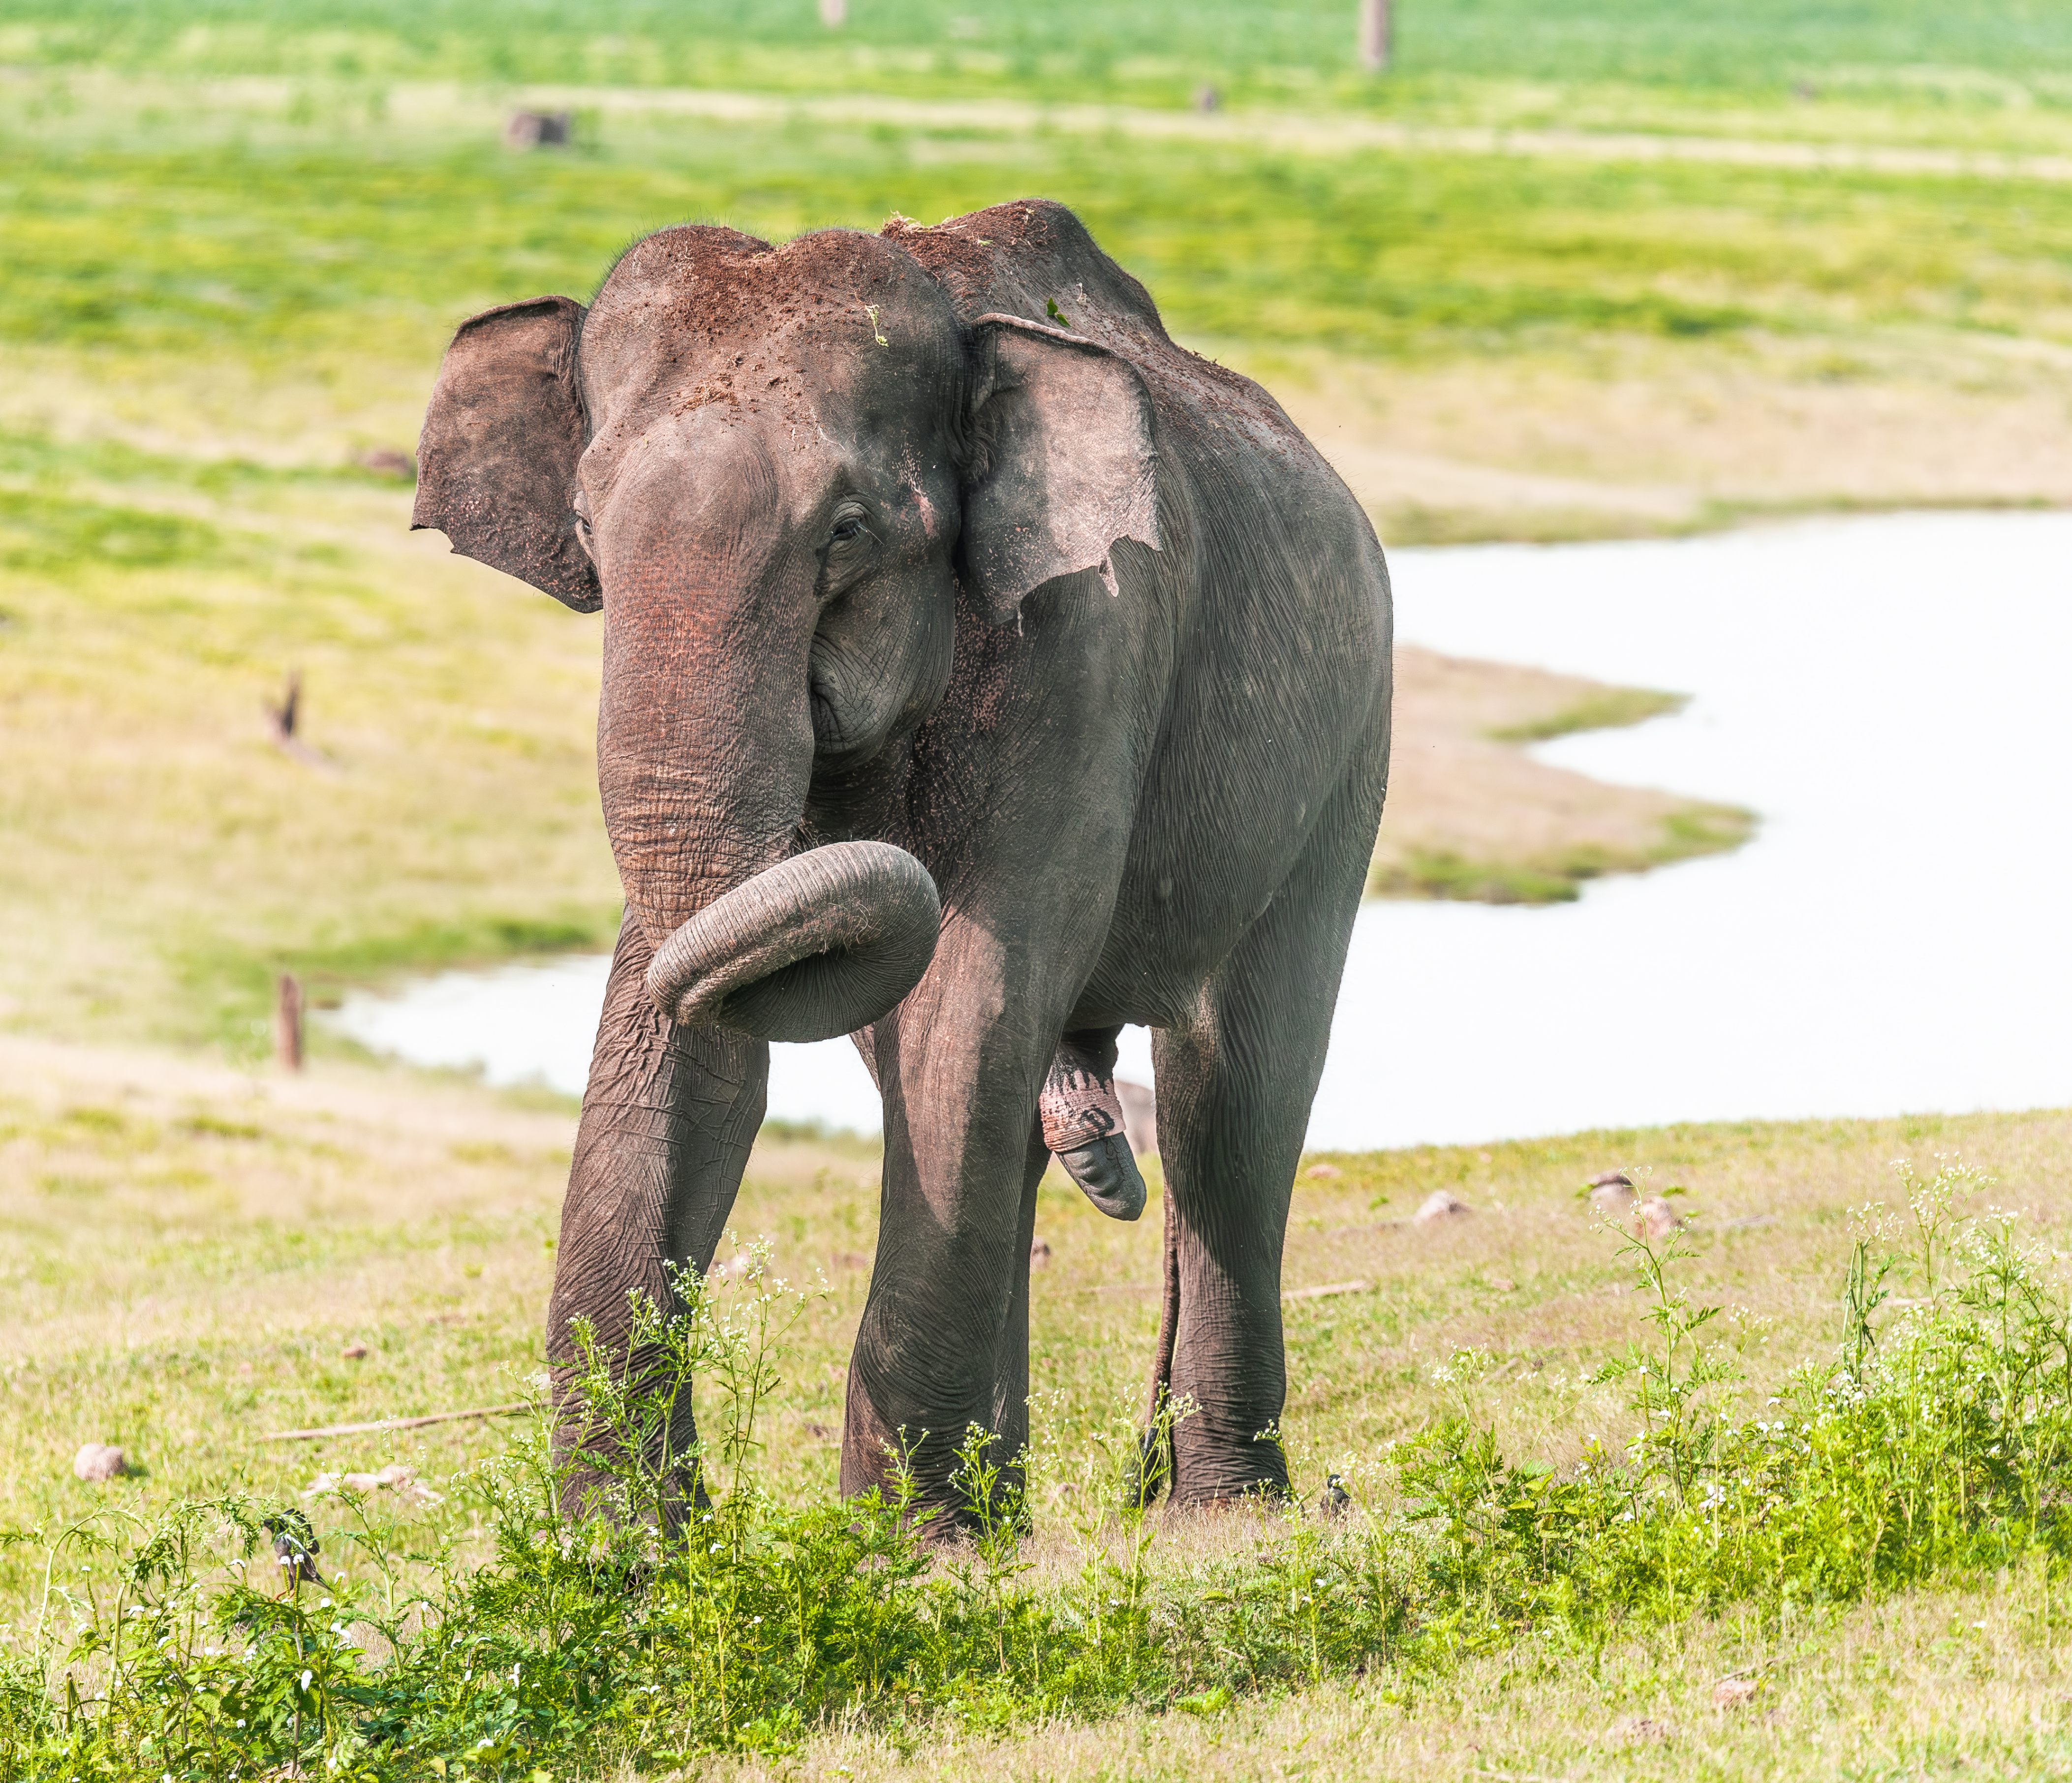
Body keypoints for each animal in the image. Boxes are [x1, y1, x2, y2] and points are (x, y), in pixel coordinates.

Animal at [412, 198, 1392, 1520]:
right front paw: (632, 1555)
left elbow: (973, 996)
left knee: (1228, 1105)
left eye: (848, 531)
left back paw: (1217, 1511)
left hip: (1344, 757)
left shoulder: (1091, 641)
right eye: (580, 530)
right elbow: (695, 1013)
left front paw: (908, 1548)